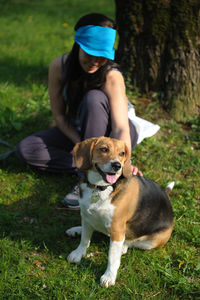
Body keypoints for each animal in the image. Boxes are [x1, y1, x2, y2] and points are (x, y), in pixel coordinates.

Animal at [66, 137, 174, 288]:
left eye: (122, 153)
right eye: (104, 149)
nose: (117, 166)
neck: (100, 188)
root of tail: (166, 194)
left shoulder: (117, 229)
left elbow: (112, 256)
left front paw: (109, 276)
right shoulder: (86, 217)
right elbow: (85, 239)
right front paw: (78, 253)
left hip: (152, 241)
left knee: (130, 243)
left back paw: (123, 246)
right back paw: (77, 230)